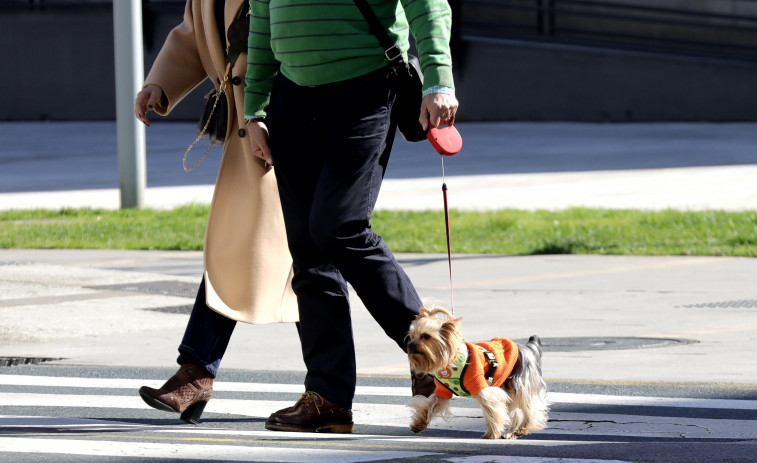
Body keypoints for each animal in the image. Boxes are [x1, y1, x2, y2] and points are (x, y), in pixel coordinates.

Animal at [408, 306, 548, 440]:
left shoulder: (480, 384)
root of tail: (527, 348)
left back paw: (523, 428)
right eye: (411, 336)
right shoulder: (442, 391)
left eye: (426, 336)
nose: (410, 345)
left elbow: (491, 410)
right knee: (517, 410)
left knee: (530, 406)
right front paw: (418, 424)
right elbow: (429, 405)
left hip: (522, 384)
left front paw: (492, 433)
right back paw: (511, 433)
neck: (452, 360)